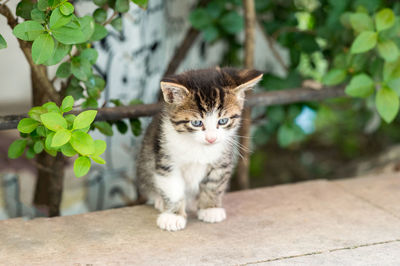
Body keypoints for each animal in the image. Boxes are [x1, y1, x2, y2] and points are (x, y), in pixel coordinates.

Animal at [136, 67, 264, 231]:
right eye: (196, 123)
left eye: (223, 121)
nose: (211, 139)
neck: (198, 147)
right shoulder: (166, 157)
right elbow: (172, 187)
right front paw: (173, 215)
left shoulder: (222, 160)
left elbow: (214, 183)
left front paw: (210, 208)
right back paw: (160, 200)